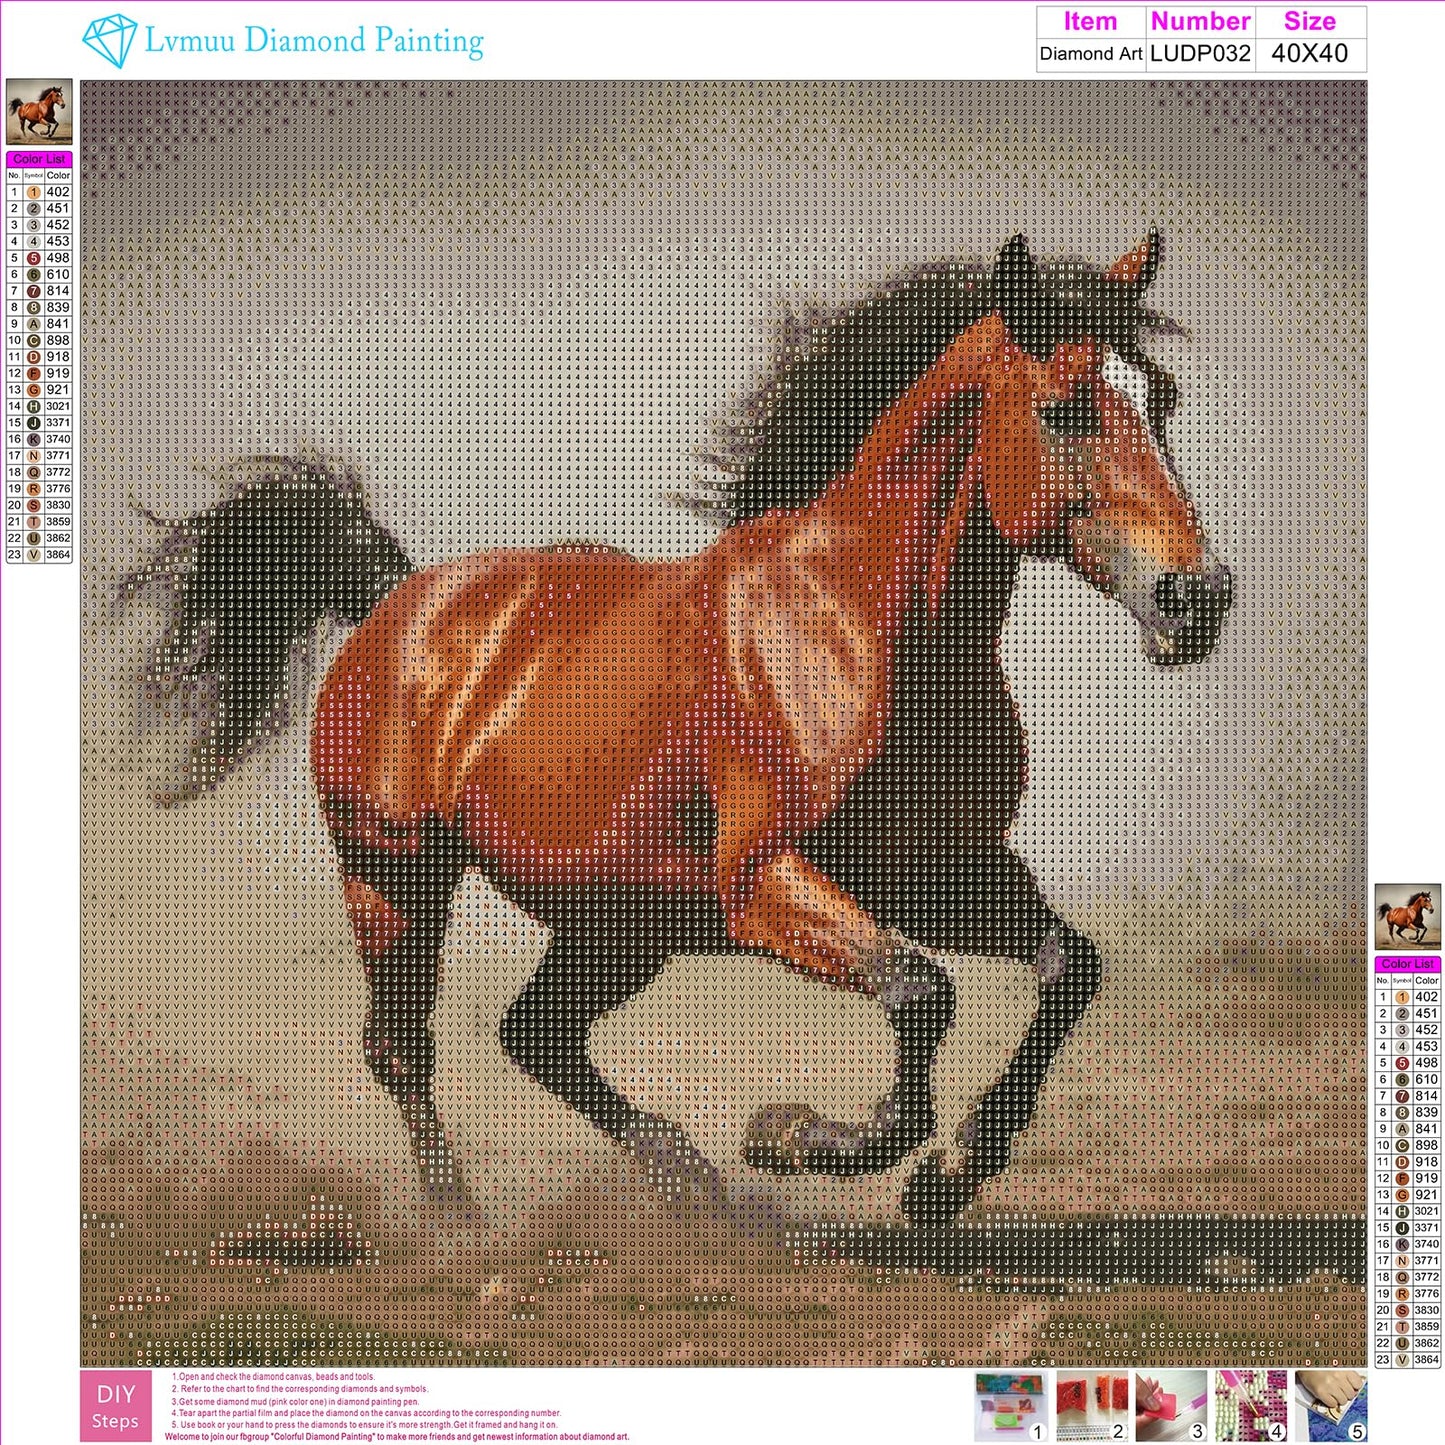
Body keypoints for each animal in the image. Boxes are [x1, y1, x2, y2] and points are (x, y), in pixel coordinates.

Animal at [128, 234, 1231, 1229]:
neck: (865, 626)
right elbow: (919, 990)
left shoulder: (943, 869)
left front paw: (945, 1177)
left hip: (621, 920)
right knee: (402, 1046)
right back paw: (463, 1220)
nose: (1198, 598)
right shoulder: (762, 880)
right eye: (1064, 408)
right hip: (395, 874)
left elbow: (1067, 967)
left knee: (534, 1034)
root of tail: (396, 602)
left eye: (1165, 397)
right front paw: (794, 1136)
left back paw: (687, 1182)